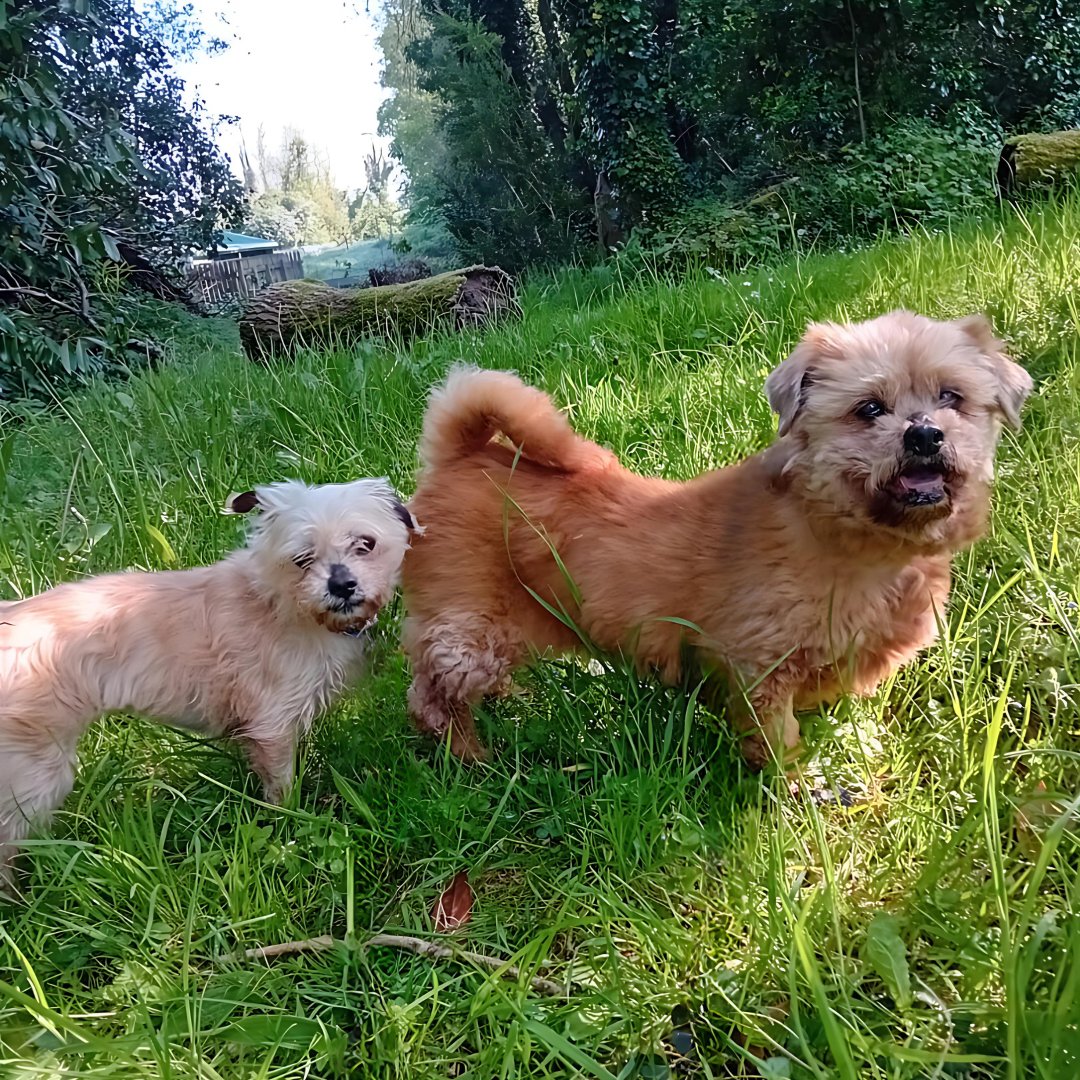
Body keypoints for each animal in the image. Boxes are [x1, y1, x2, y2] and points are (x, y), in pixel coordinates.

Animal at [0, 481, 414, 885]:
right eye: (302, 558)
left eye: (366, 543)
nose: (342, 584)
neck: (281, 606)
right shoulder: (272, 726)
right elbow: (282, 792)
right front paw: (291, 825)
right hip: (33, 777)